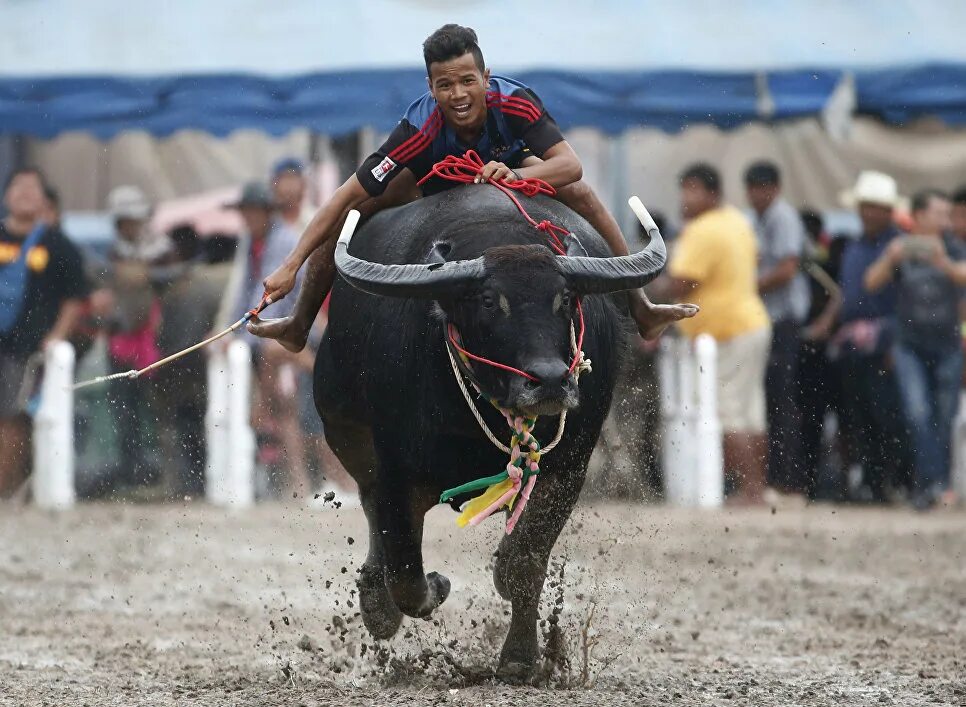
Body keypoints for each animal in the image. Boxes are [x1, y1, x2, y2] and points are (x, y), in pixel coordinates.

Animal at [318, 184, 664, 680]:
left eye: (564, 298)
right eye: (488, 301)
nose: (550, 380)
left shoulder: (568, 470)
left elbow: (522, 564)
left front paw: (520, 658)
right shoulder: (395, 468)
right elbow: (406, 573)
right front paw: (426, 588)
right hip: (348, 435)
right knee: (371, 509)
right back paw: (376, 602)